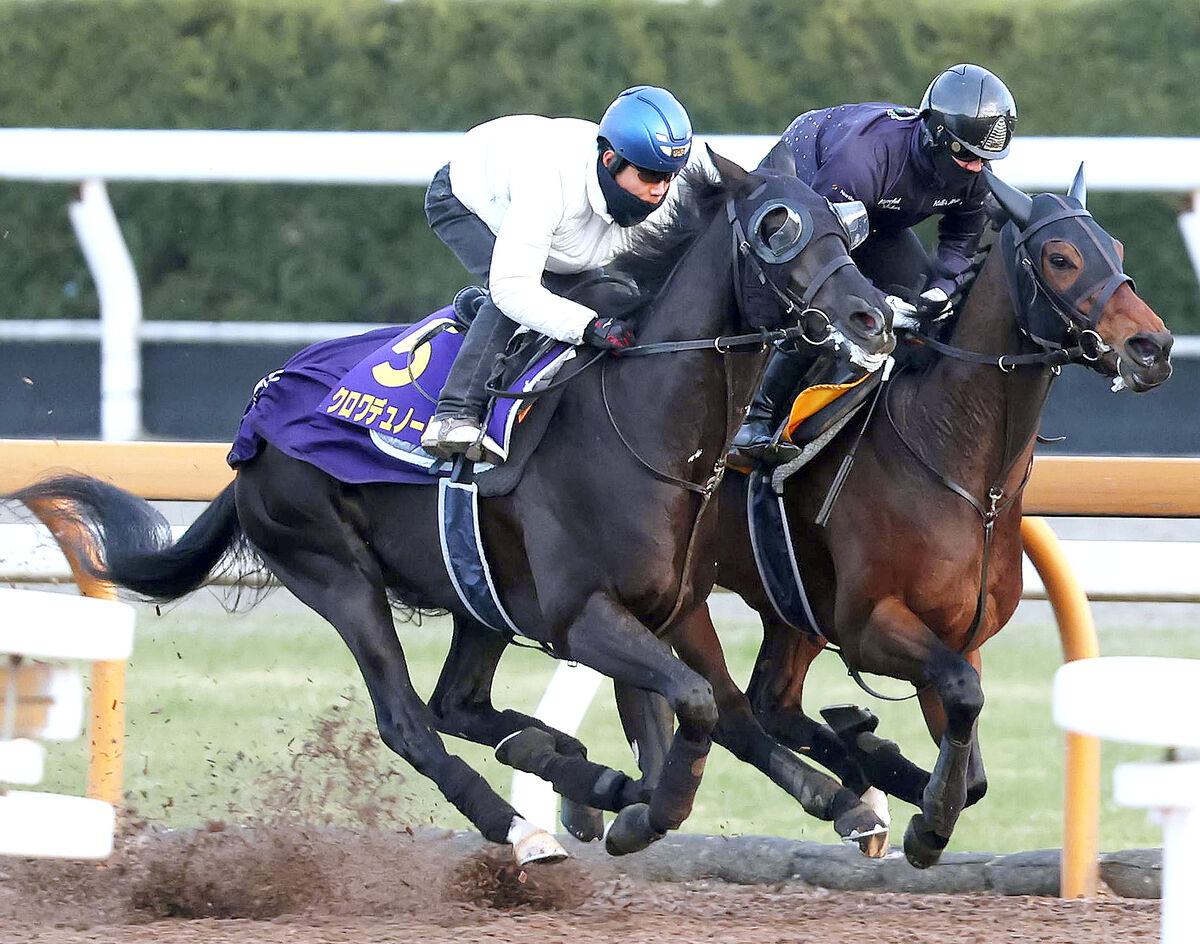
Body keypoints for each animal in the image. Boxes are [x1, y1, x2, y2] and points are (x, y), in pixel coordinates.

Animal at [9, 152, 897, 863]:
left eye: (844, 225)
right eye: (777, 229)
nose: (873, 317)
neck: (645, 424)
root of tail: (253, 428)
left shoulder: (673, 607)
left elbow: (725, 712)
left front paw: (843, 803)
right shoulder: (584, 618)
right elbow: (696, 704)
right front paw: (649, 811)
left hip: (479, 593)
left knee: (459, 704)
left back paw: (566, 768)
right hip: (335, 573)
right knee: (409, 720)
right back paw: (521, 825)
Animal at [609, 164, 1171, 863]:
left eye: (1116, 250)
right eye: (1060, 257)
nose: (1153, 346)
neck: (957, 462)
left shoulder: (956, 635)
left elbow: (971, 753)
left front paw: (896, 778)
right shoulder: (870, 624)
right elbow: (963, 698)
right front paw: (920, 815)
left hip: (790, 604)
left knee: (771, 702)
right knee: (728, 705)